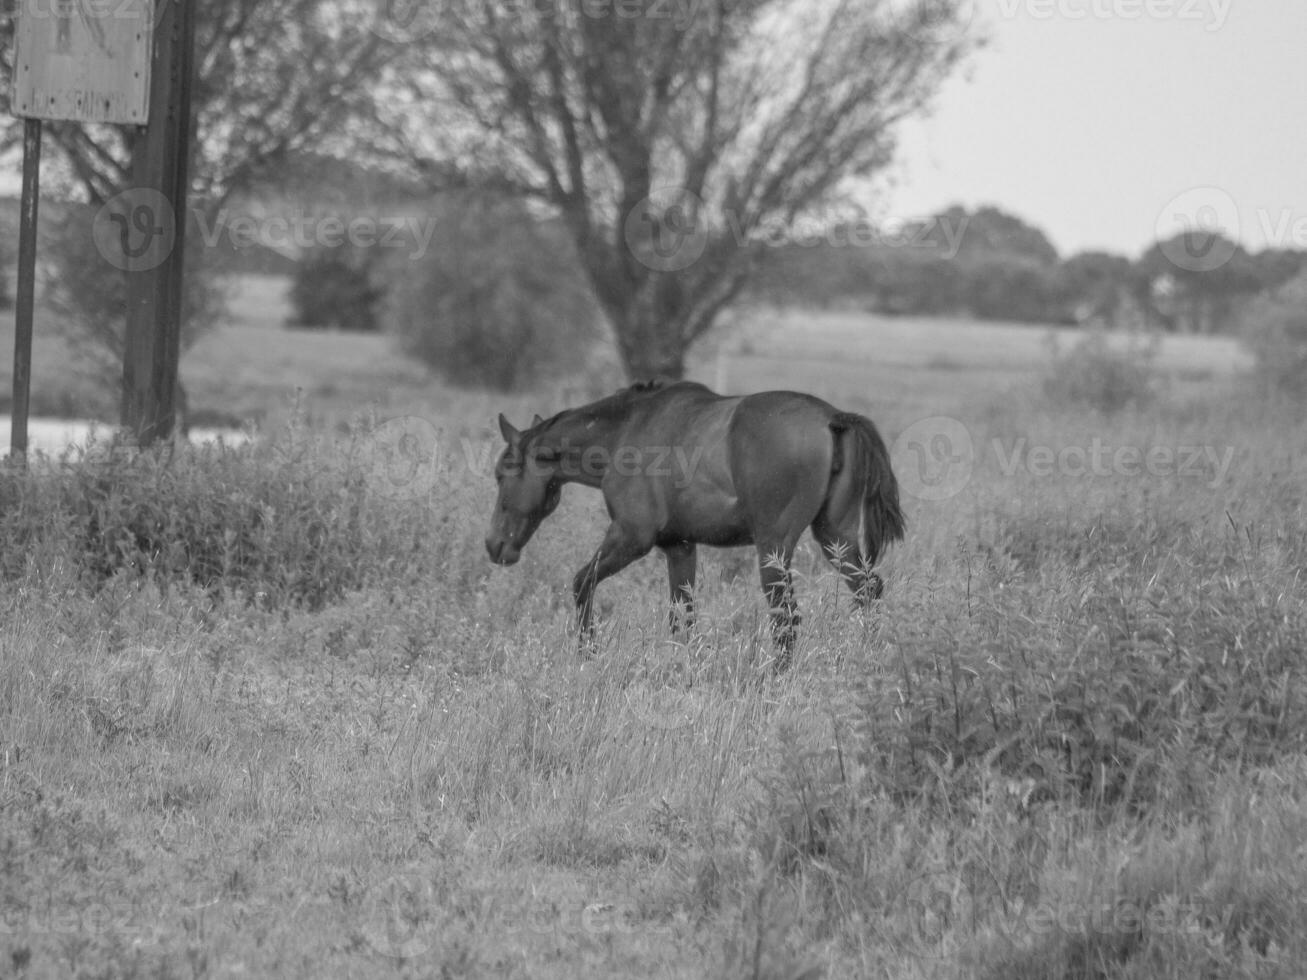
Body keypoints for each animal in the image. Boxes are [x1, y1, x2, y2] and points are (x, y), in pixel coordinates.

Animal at [486, 378, 904, 674]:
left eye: (500, 474)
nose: (494, 546)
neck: (627, 431)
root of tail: (834, 418)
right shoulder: (680, 547)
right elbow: (682, 617)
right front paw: (684, 670)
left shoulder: (630, 537)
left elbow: (582, 583)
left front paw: (588, 652)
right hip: (836, 538)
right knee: (867, 590)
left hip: (774, 548)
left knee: (786, 617)